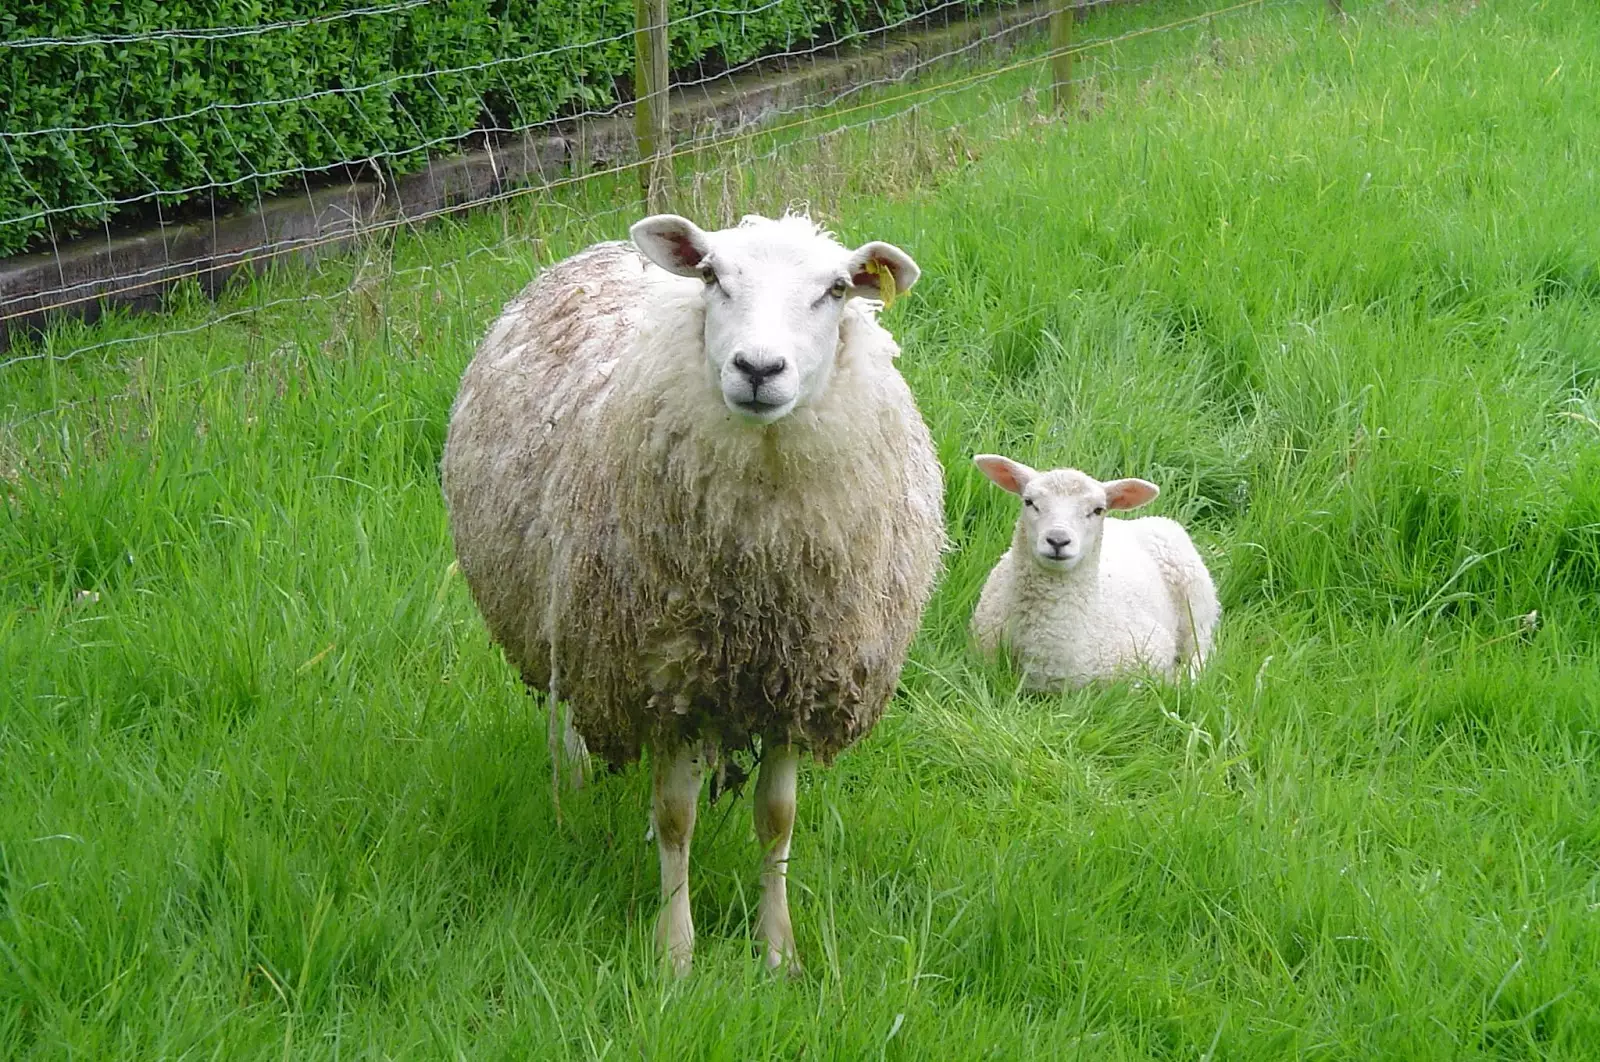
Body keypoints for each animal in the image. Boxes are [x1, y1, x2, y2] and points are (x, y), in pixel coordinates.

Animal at [438, 211, 940, 972]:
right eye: (712, 277)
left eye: (835, 290)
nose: (758, 369)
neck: (760, 571)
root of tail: (603, 249)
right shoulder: (665, 680)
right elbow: (678, 818)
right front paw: (675, 953)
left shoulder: (799, 679)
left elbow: (776, 819)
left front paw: (778, 951)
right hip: (571, 629)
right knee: (565, 714)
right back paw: (575, 792)